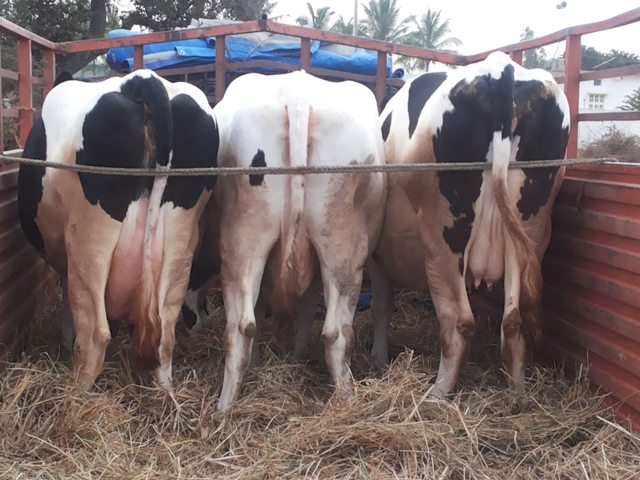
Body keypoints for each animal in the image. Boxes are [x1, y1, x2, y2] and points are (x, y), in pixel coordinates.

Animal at [18, 69, 219, 388]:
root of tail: (141, 79)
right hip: (181, 231)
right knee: (165, 330)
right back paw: (164, 391)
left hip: (90, 236)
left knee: (94, 333)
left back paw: (78, 391)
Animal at [211, 70, 386, 410]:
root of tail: (297, 94)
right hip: (343, 246)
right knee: (336, 333)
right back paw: (347, 402)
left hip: (243, 241)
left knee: (241, 328)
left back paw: (224, 409)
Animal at [369, 51, 570, 397]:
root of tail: (501, 68)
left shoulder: (379, 255)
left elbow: (382, 305)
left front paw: (379, 360)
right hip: (532, 229)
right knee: (513, 320)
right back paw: (519, 396)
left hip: (444, 234)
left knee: (458, 321)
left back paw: (436, 396)